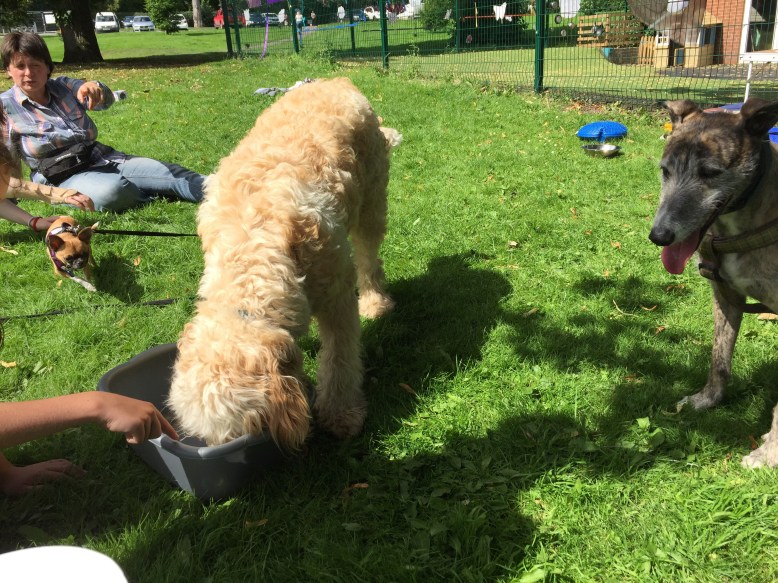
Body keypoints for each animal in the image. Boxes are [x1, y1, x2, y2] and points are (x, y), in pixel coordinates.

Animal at [168, 77, 401, 449]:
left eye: (238, 433)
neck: (250, 256)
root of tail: (336, 80)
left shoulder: (337, 295)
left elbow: (340, 358)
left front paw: (340, 414)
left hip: (372, 203)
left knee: (369, 258)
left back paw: (376, 301)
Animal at [648, 98, 778, 468]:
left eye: (710, 173)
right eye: (665, 170)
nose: (659, 236)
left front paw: (769, 454)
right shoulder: (726, 296)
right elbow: (719, 360)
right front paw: (707, 400)